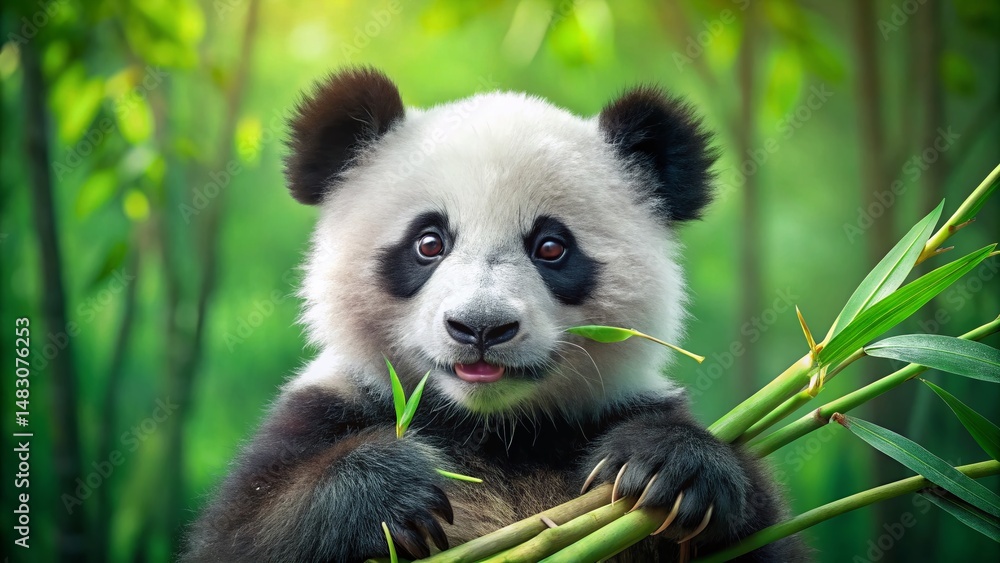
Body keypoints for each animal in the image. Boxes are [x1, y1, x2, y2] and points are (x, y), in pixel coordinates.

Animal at [183, 68, 807, 563]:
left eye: (551, 247)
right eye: (428, 242)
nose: (481, 327)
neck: (495, 433)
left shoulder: (599, 416)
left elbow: (761, 533)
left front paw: (668, 466)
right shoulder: (326, 412)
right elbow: (245, 533)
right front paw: (393, 489)